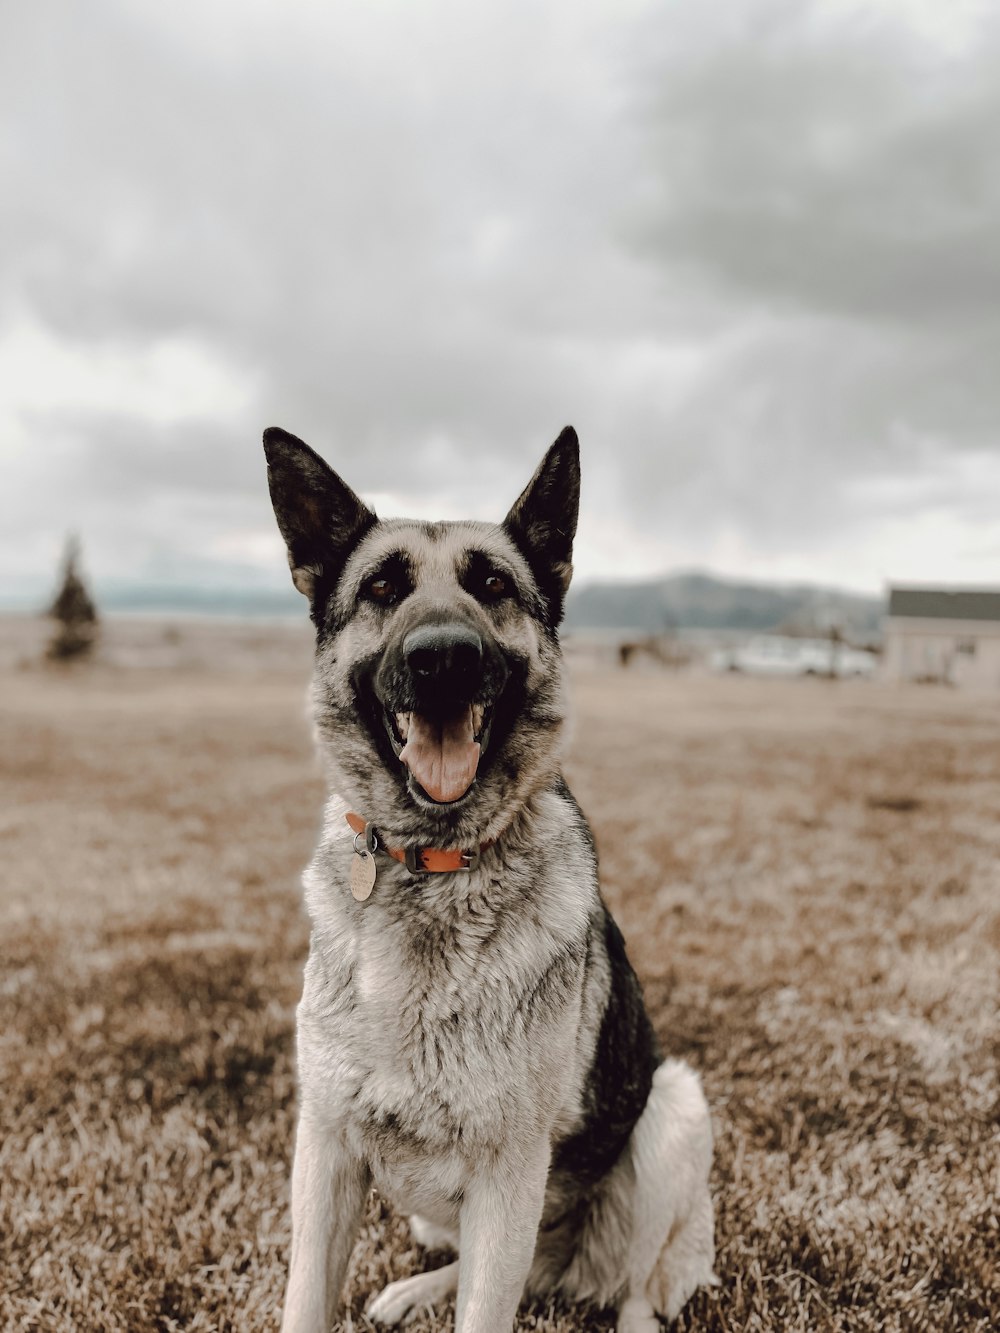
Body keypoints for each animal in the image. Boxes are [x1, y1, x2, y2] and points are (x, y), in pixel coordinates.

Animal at [264, 429, 720, 1333]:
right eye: (382, 587)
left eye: (493, 585)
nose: (443, 656)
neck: (433, 865)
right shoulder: (326, 1153)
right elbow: (305, 1298)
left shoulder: (510, 1174)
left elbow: (488, 1307)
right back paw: (415, 1288)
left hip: (670, 1111)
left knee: (633, 1291)